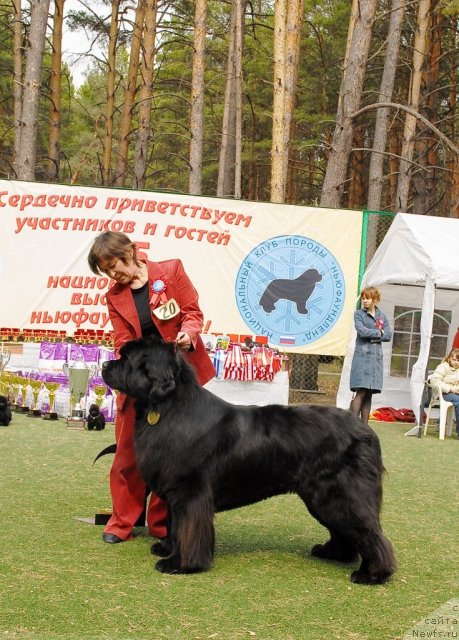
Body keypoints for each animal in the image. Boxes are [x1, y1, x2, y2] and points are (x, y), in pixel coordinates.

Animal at [102, 336, 398, 584]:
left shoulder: (190, 492)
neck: (168, 407)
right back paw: (333, 553)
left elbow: (187, 528)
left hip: (339, 493)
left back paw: (372, 574)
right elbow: (175, 526)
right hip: (324, 497)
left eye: (127, 358)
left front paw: (180, 564)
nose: (105, 364)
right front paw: (166, 549)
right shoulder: (176, 493)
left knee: (370, 532)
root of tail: (366, 431)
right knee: (345, 529)